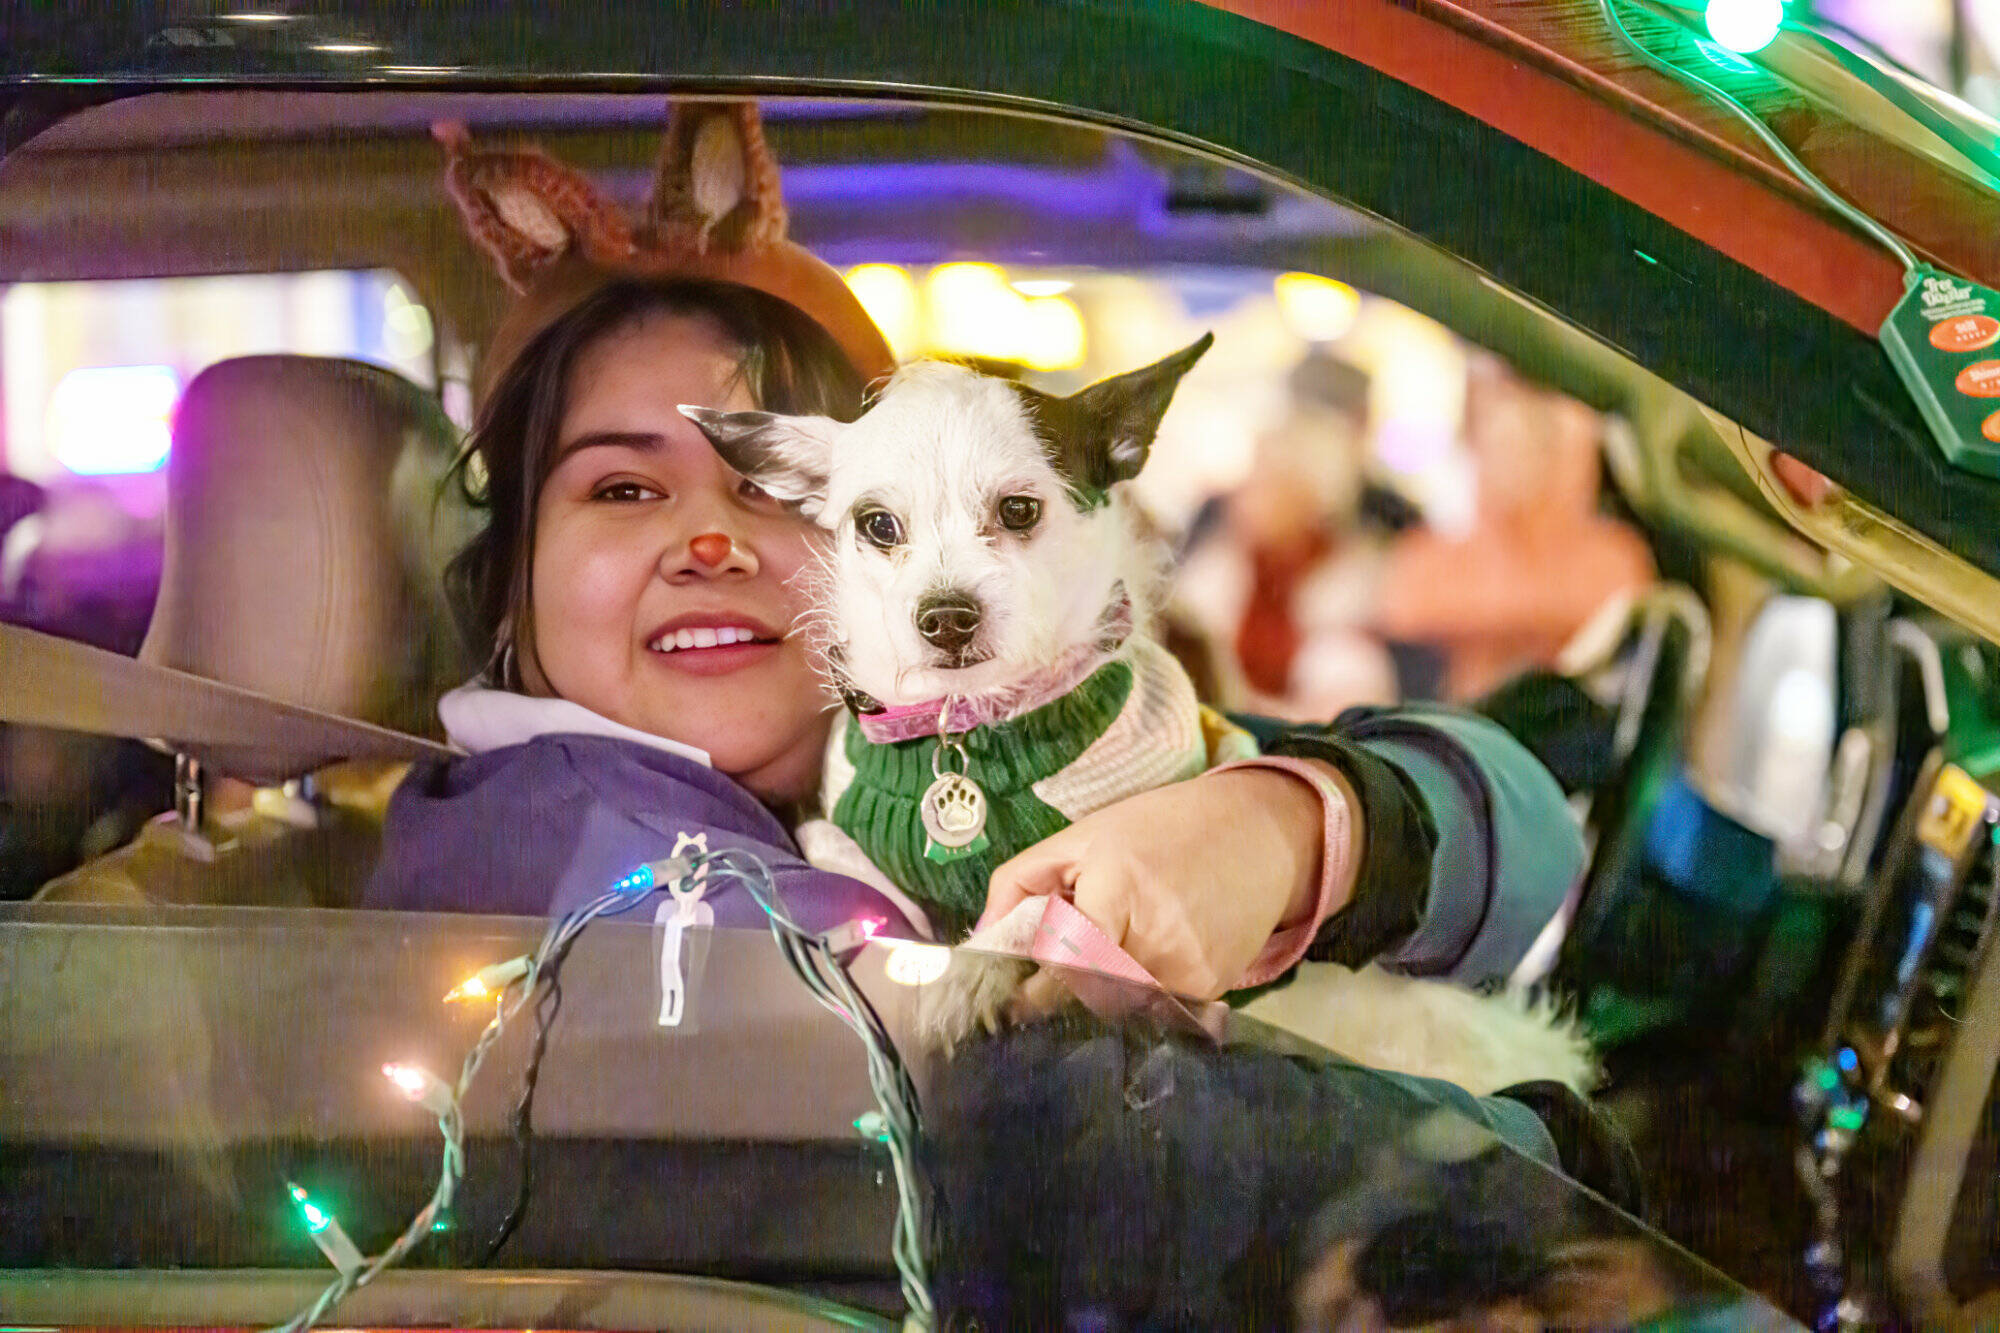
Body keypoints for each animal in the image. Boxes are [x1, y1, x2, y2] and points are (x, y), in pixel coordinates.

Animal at [683, 338, 1594, 1094]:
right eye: (877, 525)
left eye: (1019, 511)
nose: (945, 616)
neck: (972, 728)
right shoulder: (846, 828)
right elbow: (842, 860)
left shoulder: (1101, 853)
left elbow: (1033, 907)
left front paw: (969, 965)